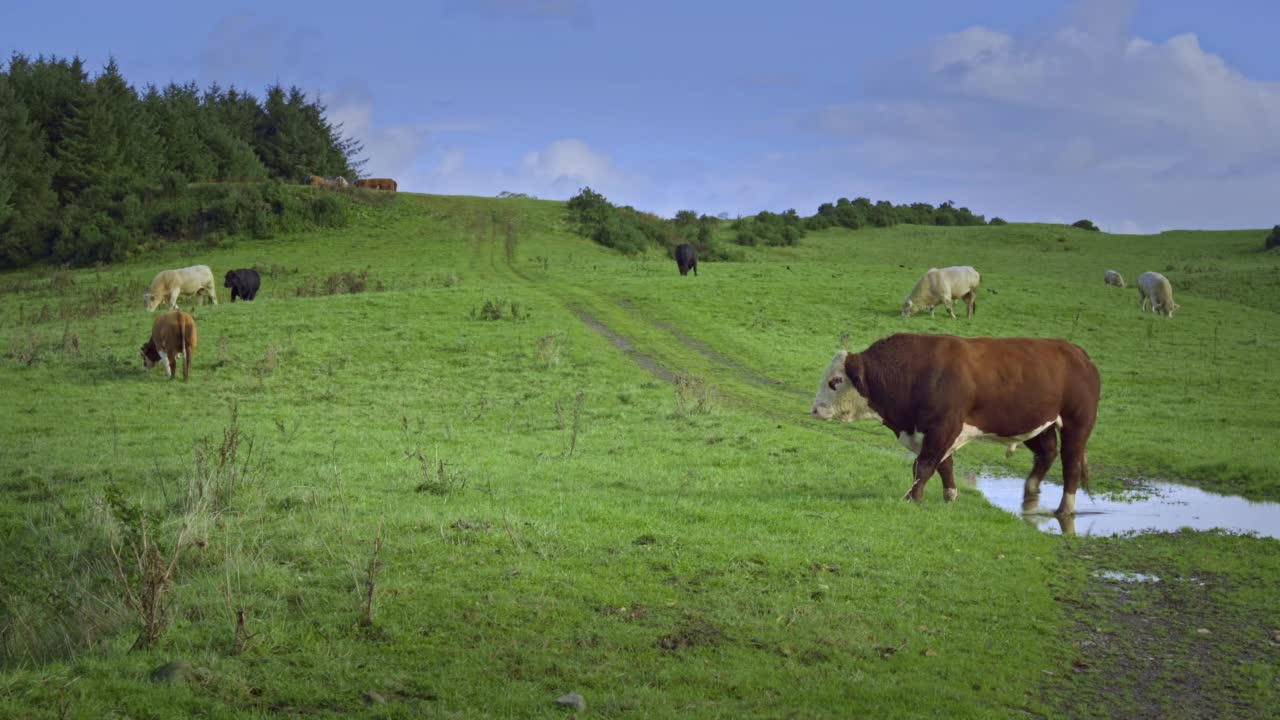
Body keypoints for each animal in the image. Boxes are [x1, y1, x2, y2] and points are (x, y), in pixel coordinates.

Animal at [808, 333, 1100, 512]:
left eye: (835, 381)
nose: (815, 409)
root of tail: (1078, 352)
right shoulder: (933, 433)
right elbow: (943, 465)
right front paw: (950, 496)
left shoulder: (943, 428)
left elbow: (924, 465)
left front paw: (912, 499)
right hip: (1039, 425)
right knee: (1046, 453)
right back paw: (1030, 492)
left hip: (1077, 425)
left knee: (1071, 466)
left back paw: (1065, 508)